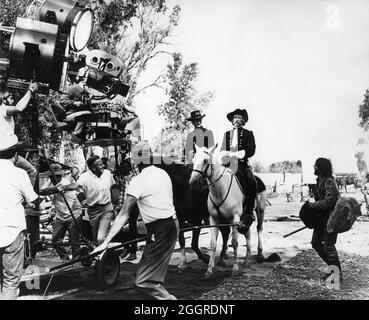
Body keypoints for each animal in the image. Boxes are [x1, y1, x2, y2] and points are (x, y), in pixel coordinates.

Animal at [190, 145, 264, 278]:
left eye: (205, 161)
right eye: (193, 160)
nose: (192, 183)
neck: (220, 190)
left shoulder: (235, 218)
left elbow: (234, 242)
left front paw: (235, 268)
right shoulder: (214, 219)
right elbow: (213, 244)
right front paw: (209, 269)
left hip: (260, 210)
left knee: (259, 228)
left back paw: (259, 255)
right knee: (247, 233)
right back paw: (247, 259)